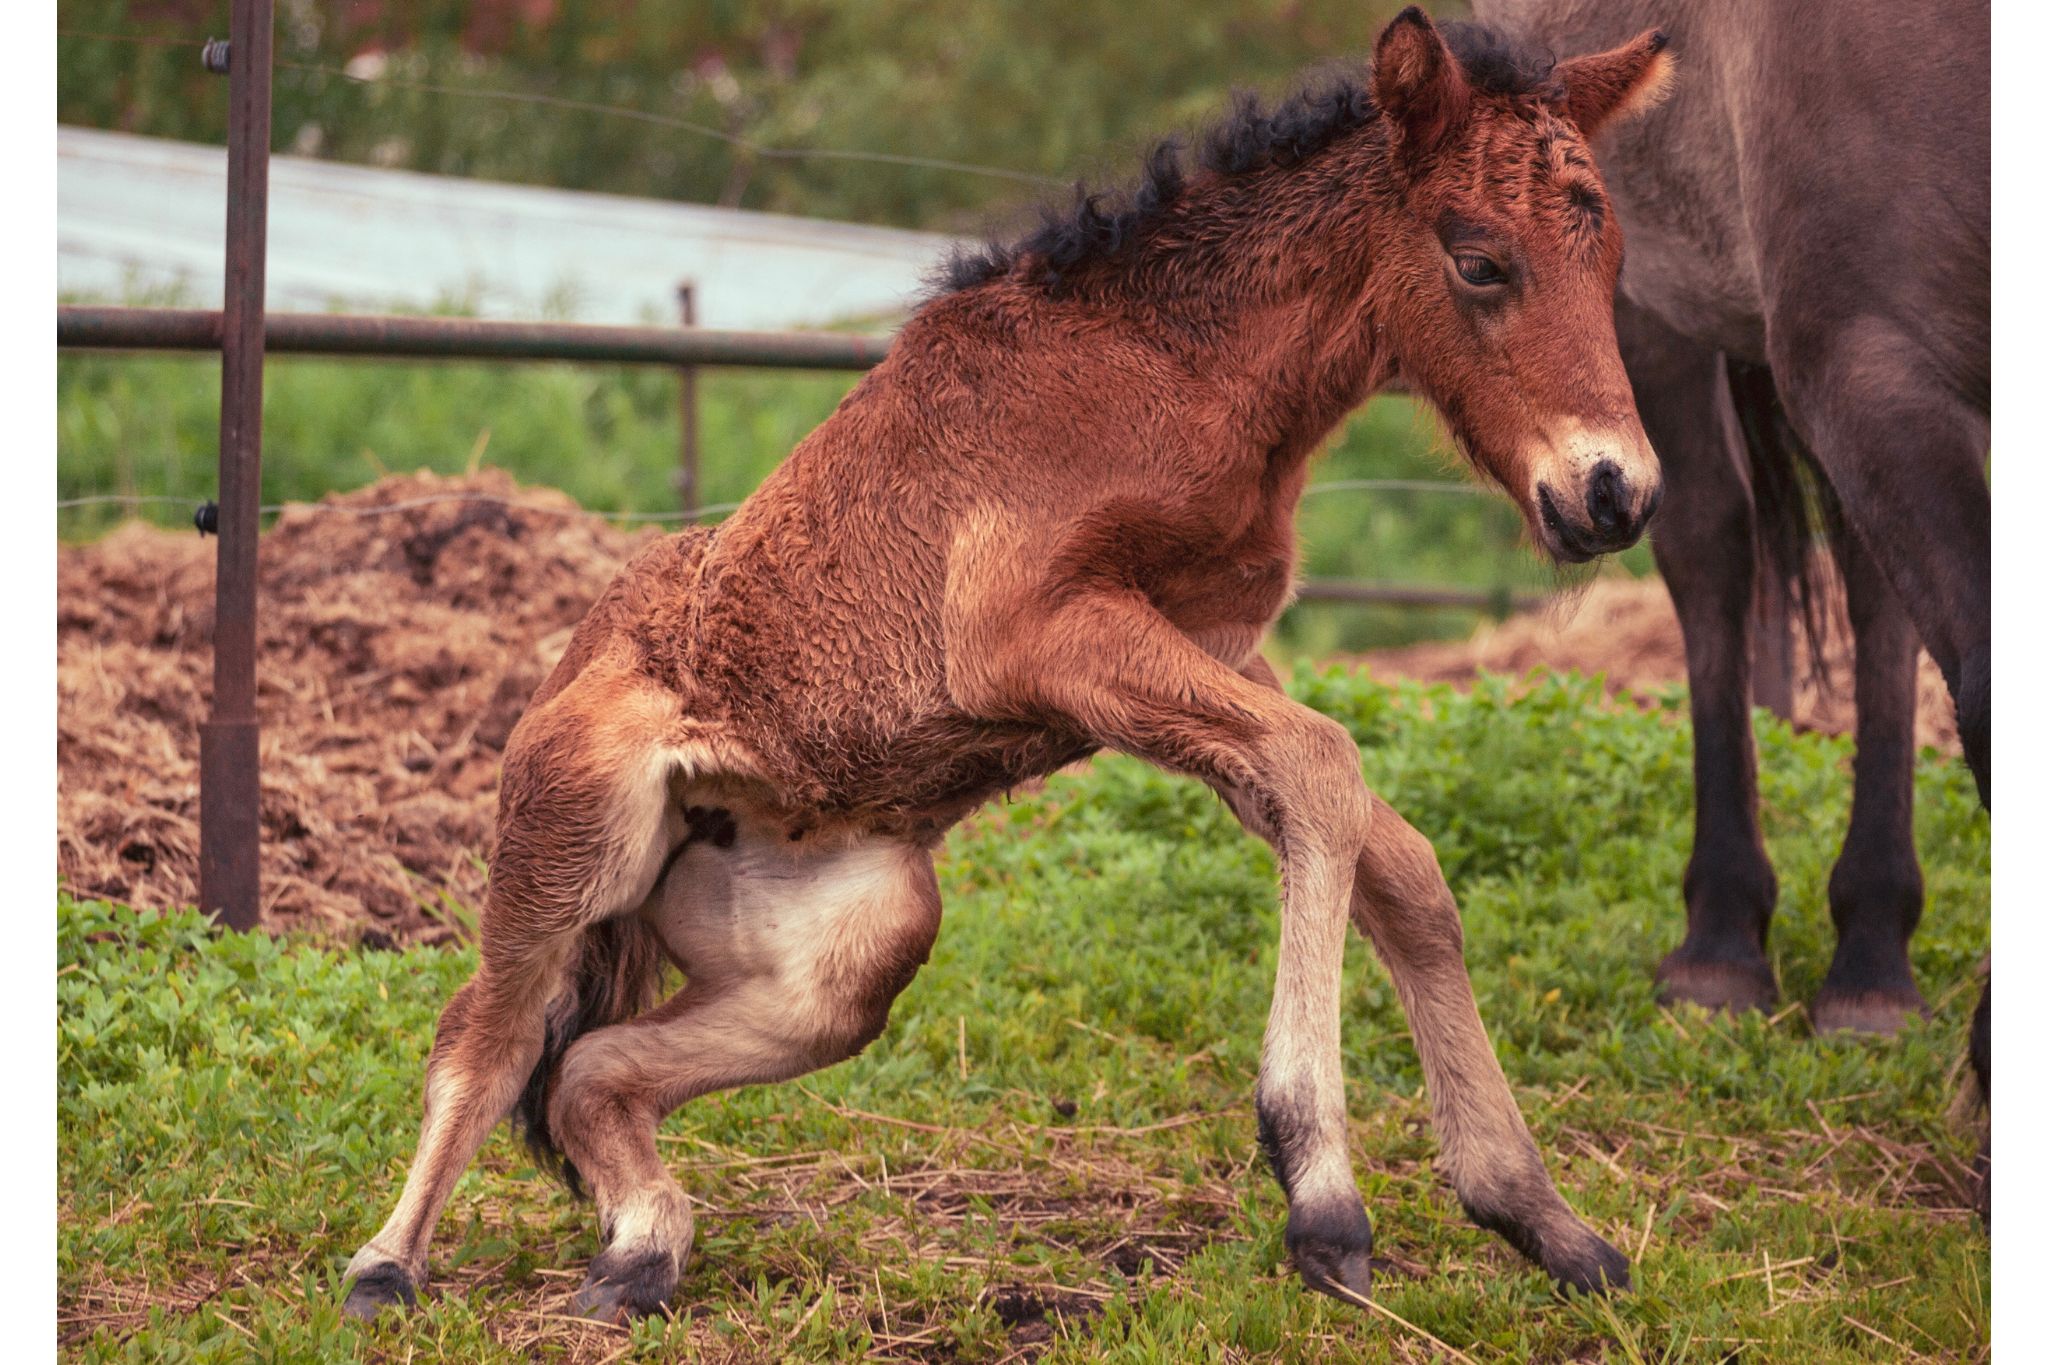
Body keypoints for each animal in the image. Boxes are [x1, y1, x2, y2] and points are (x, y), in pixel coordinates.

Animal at [344, 7, 1671, 1326]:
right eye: (1478, 260)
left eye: (1609, 261)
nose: (1612, 493)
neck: (1163, 371)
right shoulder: (1040, 635)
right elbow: (1323, 767)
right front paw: (1322, 1200)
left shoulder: (1213, 650)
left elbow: (1389, 856)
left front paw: (1539, 1215)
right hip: (575, 841)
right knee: (489, 1038)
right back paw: (384, 1268)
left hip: (851, 952)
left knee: (589, 1071)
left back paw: (635, 1255)